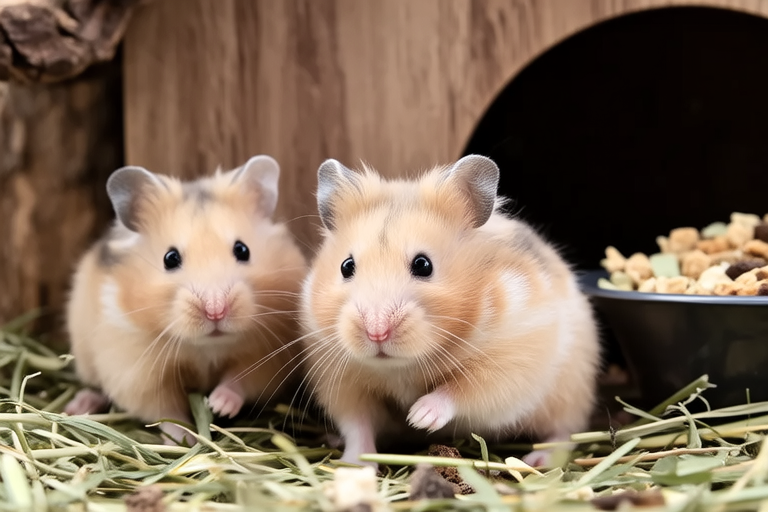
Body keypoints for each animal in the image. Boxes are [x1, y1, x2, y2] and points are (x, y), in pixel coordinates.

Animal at [64, 155, 308, 444]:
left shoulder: (267, 355)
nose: (215, 311)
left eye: (242, 250)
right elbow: (166, 412)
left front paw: (218, 405)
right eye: (170, 258)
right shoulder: (137, 372)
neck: (207, 347)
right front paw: (185, 439)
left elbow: (240, 380)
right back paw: (78, 406)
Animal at [299, 154, 601, 467]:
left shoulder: (512, 359)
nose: (377, 332)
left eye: (423, 265)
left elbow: (461, 391)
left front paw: (419, 416)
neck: (401, 366)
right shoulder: (340, 378)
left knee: (565, 432)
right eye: (346, 266)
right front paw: (356, 464)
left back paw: (537, 460)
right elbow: (357, 424)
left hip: (568, 393)